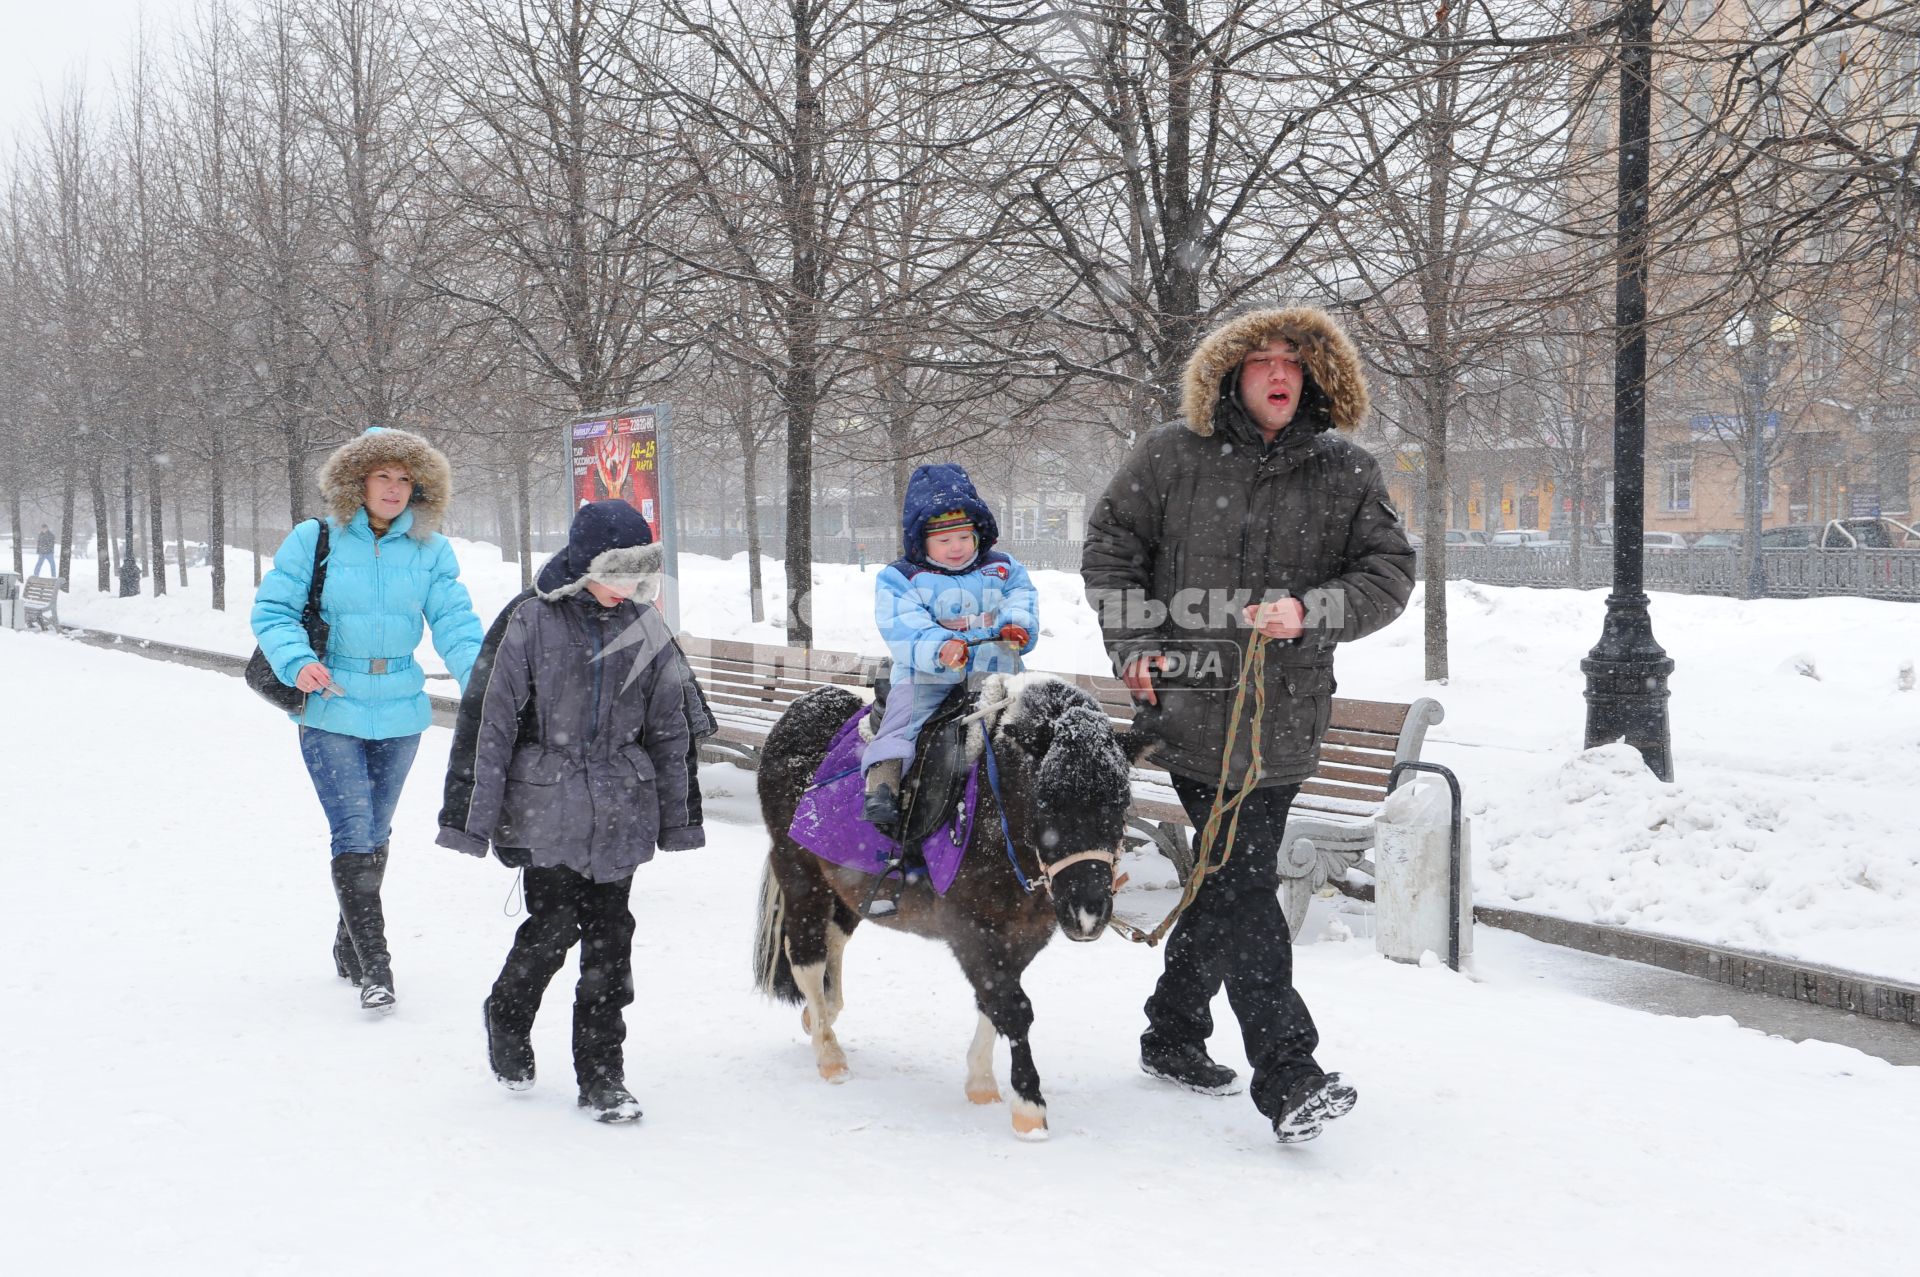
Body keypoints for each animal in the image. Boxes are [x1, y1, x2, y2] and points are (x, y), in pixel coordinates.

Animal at [744, 672, 1136, 1136]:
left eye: (1122, 803)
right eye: (1047, 800)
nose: (1087, 913)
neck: (998, 809)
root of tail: (801, 707)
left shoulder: (1025, 933)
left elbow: (993, 1003)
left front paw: (981, 1082)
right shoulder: (971, 932)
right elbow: (1012, 1008)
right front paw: (1028, 1107)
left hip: (845, 883)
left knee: (834, 942)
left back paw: (821, 1012)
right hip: (800, 871)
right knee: (807, 957)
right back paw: (829, 1054)